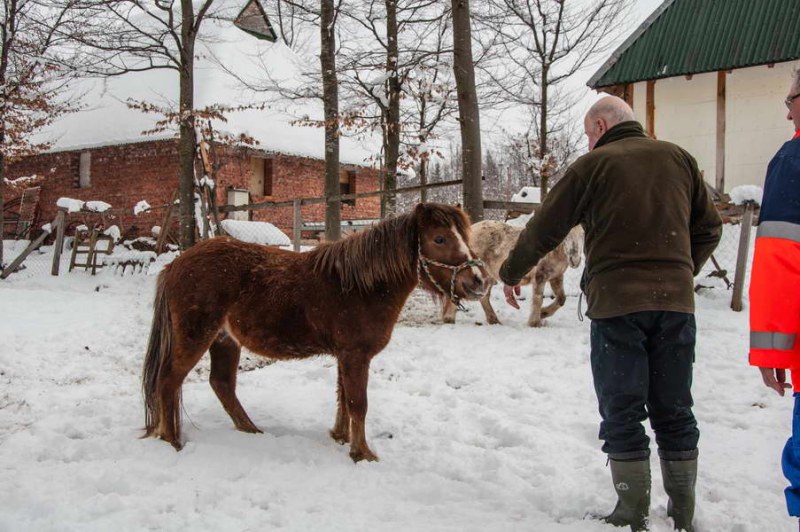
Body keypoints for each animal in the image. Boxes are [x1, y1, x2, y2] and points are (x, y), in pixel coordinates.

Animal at [142, 203, 489, 462]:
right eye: (440, 239)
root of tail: (176, 264)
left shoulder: (346, 356)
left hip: (224, 341)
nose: (477, 281)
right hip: (196, 337)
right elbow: (358, 403)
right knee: (169, 381)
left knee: (221, 384)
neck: (360, 285)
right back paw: (172, 442)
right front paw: (362, 453)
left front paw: (341, 438)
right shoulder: (355, 356)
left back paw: (251, 431)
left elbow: (343, 398)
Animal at [442, 221, 583, 327]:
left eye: (582, 234)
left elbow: (561, 299)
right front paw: (535, 322)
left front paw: (543, 313)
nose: (575, 260)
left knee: (484, 297)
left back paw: (493, 320)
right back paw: (449, 319)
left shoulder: (556, 277)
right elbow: (538, 299)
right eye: (567, 235)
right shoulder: (540, 277)